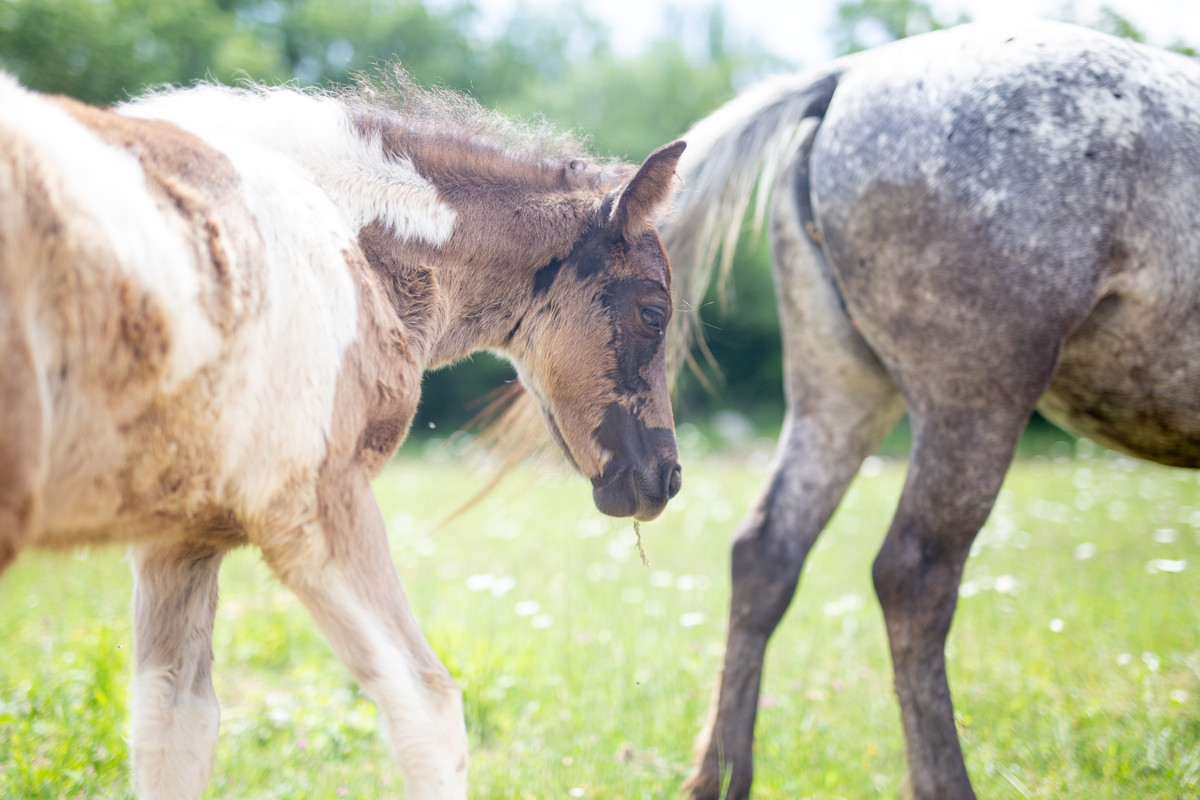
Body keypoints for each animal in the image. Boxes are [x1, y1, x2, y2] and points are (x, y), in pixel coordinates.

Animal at [0, 71, 691, 796]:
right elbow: (428, 704)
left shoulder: (181, 536)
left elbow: (175, 727)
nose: (667, 476)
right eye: (654, 311)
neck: (346, 243)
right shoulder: (317, 501)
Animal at [667, 18, 1200, 800]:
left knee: (765, 553)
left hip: (839, 395)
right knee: (913, 576)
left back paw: (721, 777)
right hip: (972, 403)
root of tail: (847, 77)